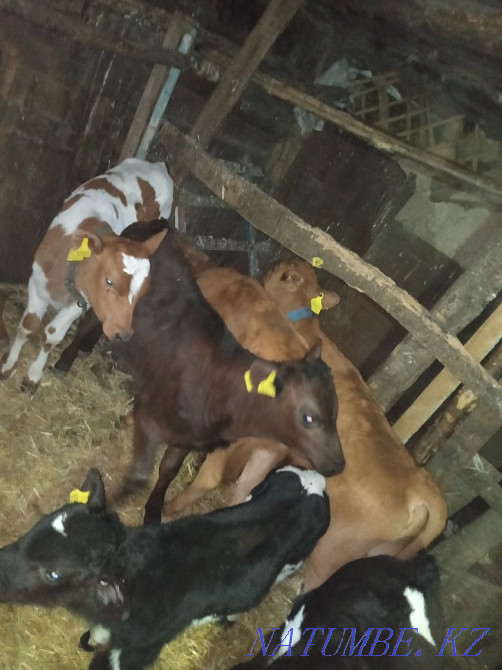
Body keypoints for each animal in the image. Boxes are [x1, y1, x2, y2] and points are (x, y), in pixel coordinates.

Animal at [0, 158, 173, 392]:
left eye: (143, 290)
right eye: (109, 280)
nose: (125, 335)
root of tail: (158, 164)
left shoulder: (81, 302)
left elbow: (52, 334)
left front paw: (33, 376)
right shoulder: (37, 283)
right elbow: (28, 326)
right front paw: (8, 365)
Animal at [0, 466, 330, 670]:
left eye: (53, 574)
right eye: (38, 526)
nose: (1, 569)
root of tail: (317, 479)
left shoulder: (140, 648)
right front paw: (90, 640)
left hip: (296, 559)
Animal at [119, 229, 344, 525]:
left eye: (282, 272)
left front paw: (130, 419)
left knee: (212, 477)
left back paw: (170, 507)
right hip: (266, 451)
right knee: (244, 488)